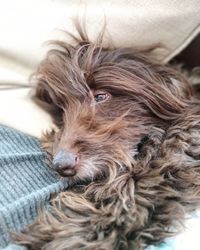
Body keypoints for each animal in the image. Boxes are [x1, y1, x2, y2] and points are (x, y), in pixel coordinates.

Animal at [15, 29, 200, 250]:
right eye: (60, 111)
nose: (62, 165)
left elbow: (133, 194)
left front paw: (69, 235)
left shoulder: (170, 162)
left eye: (101, 96)